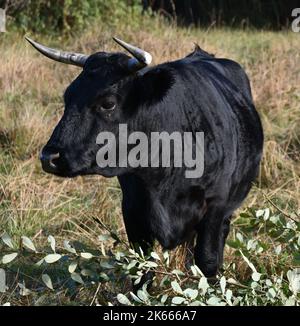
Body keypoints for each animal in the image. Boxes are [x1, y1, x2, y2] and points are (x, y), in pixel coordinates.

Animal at [27, 38, 264, 280]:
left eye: (108, 103)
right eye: (67, 97)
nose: (49, 156)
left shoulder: (215, 208)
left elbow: (207, 261)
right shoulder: (133, 209)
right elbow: (142, 266)